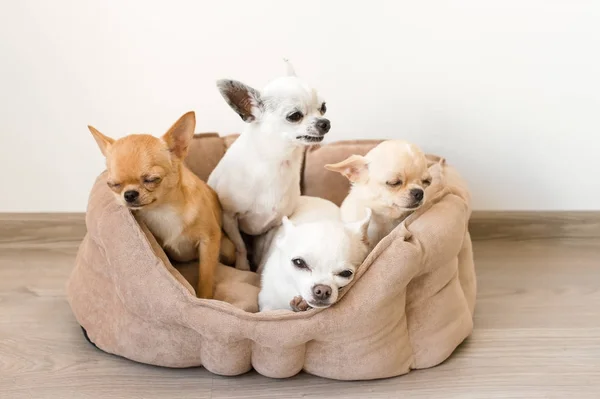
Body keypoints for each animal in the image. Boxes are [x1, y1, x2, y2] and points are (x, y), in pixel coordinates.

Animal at [205, 60, 328, 272]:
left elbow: (264, 252)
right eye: (294, 116)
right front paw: (243, 268)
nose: (325, 122)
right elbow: (240, 246)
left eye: (323, 108)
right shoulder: (229, 217)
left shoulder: (274, 224)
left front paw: (258, 270)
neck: (277, 163)